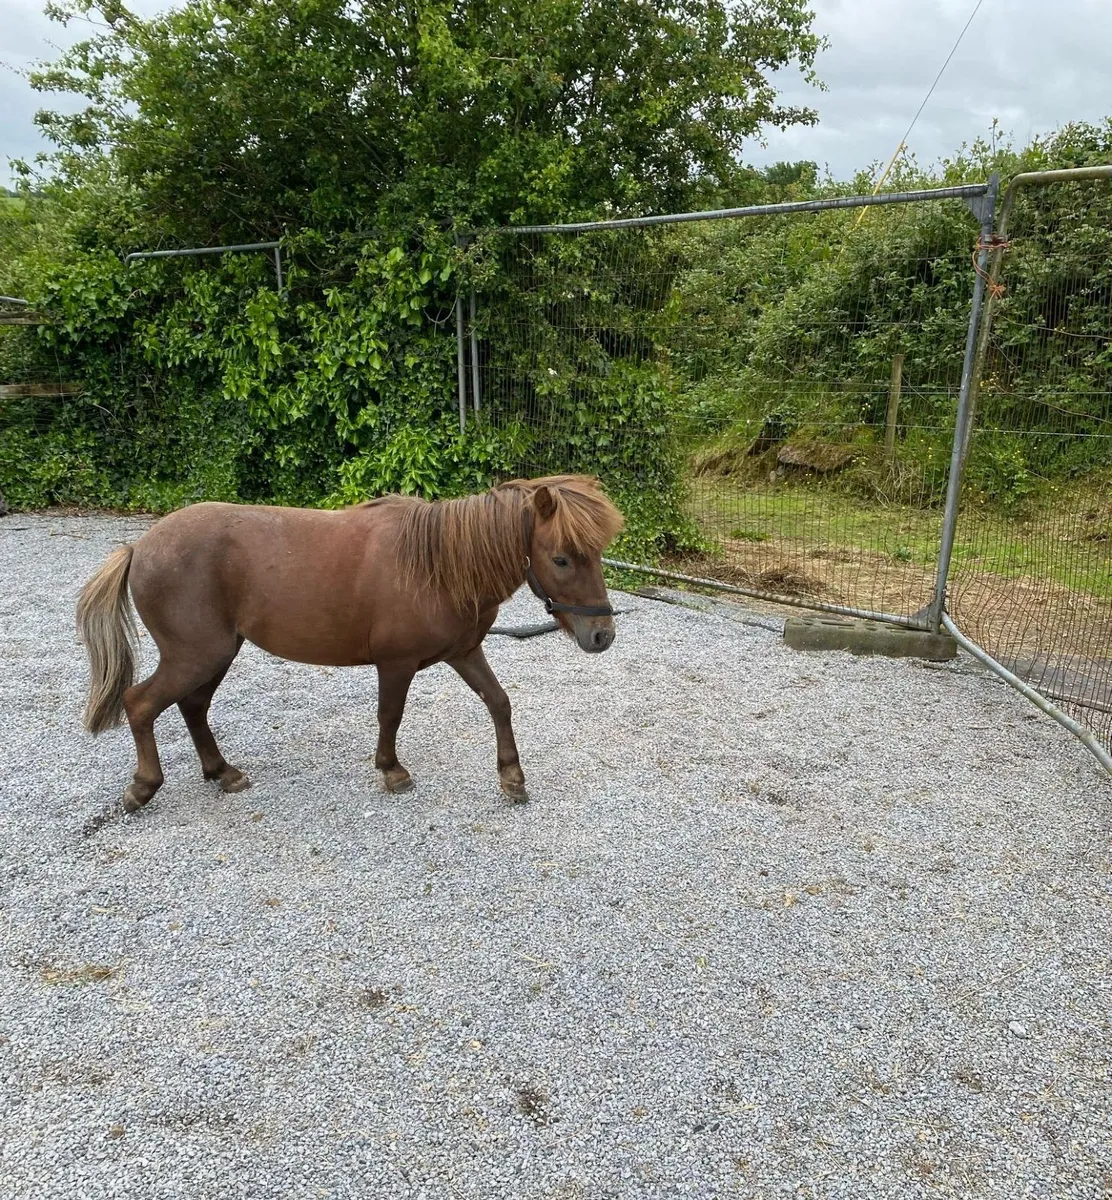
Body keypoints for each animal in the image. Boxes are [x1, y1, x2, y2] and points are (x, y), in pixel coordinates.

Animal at [76, 475, 624, 813]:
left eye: (597, 553)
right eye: (561, 558)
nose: (601, 636)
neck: (437, 565)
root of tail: (139, 546)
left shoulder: (465, 653)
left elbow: (499, 702)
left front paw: (512, 777)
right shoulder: (397, 663)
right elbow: (390, 716)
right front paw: (392, 771)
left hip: (217, 654)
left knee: (192, 706)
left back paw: (222, 772)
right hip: (195, 655)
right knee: (140, 704)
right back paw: (143, 788)